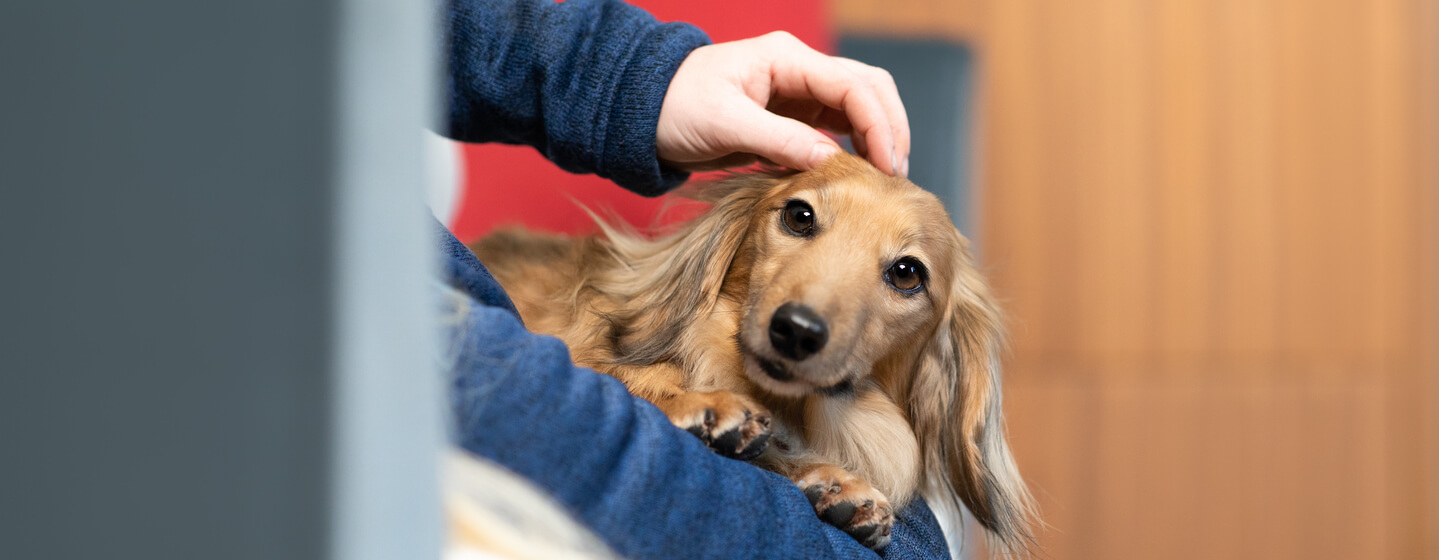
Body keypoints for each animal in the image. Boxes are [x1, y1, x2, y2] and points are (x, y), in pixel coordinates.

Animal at [471, 154, 1036, 552]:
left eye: (907, 273)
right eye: (799, 215)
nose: (797, 331)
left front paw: (832, 484)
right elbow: (632, 381)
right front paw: (704, 406)